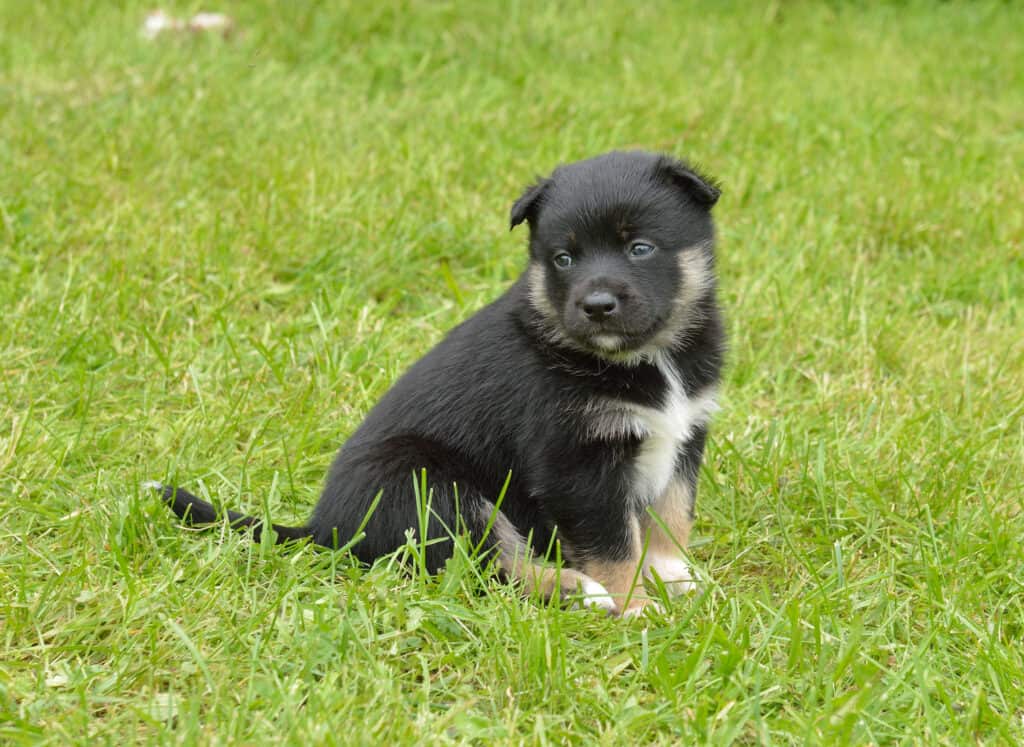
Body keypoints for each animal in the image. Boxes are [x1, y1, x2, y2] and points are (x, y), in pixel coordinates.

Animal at [155, 148, 724, 614]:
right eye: (563, 259)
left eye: (640, 248)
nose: (597, 306)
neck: (646, 357)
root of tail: (327, 528)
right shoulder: (576, 462)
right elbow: (613, 542)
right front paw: (635, 603)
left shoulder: (684, 435)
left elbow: (672, 514)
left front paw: (676, 578)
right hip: (433, 486)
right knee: (483, 568)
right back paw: (579, 590)